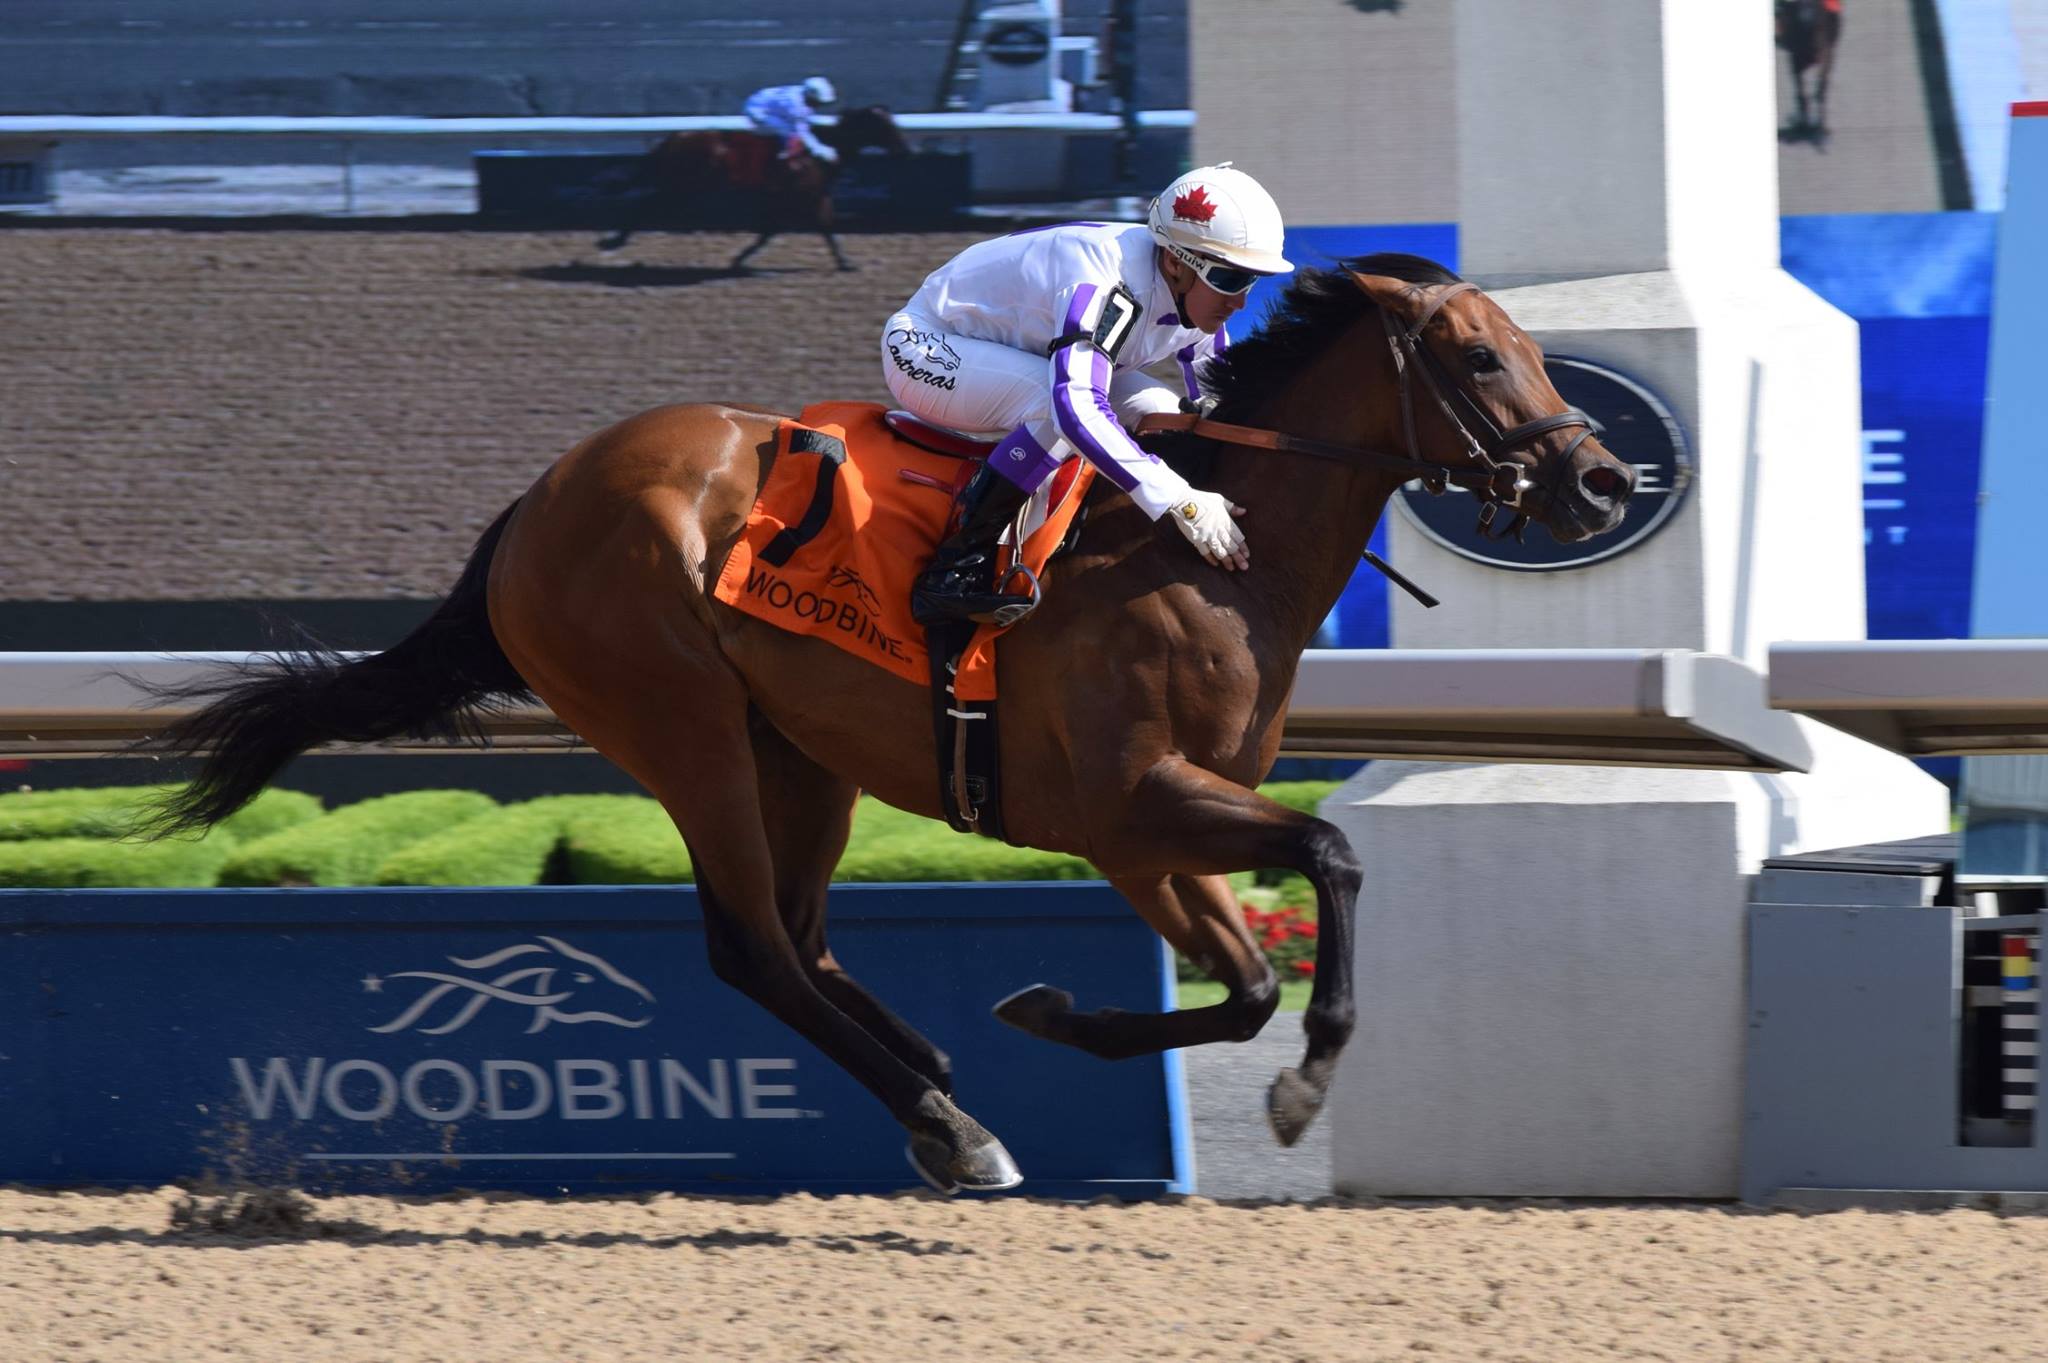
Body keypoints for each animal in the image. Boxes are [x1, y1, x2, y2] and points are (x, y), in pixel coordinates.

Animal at [144, 253, 1638, 1194]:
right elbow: (1327, 858)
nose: (1601, 480)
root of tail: (538, 501)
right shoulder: (1132, 798)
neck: (1214, 562)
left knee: (802, 940)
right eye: (1475, 355)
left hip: (799, 754)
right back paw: (944, 1121)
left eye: (1526, 348)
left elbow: (1246, 979)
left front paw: (1054, 1013)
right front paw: (1301, 1086)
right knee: (751, 946)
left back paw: (934, 1079)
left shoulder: (1148, 831)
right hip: (682, 727)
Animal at [594, 105, 912, 271]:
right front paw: (846, 263)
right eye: (886, 126)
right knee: (646, 205)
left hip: (679, 187)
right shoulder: (804, 196)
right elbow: (821, 226)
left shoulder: (803, 197)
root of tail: (675, 137)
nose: (904, 150)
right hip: (681, 188)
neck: (819, 152)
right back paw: (612, 241)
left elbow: (790, 229)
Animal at [1776, 0, 1842, 140]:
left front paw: (1820, 130)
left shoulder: (1826, 54)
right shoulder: (1795, 58)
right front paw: (1803, 127)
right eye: (1798, 4)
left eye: (1815, 4)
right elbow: (1801, 93)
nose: (1807, 18)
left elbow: (1820, 90)